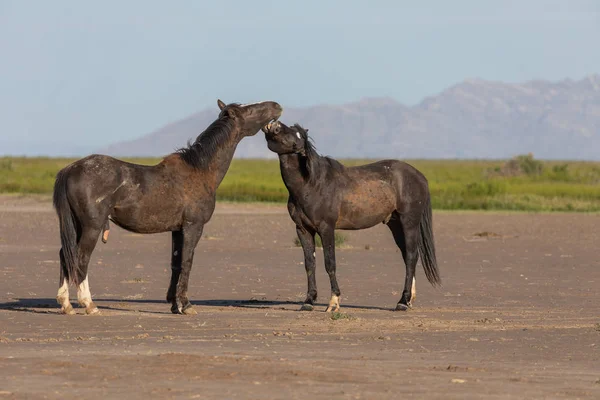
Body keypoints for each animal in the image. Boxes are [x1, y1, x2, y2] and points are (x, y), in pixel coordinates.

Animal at [52, 100, 282, 316]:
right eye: (249, 109)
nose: (276, 106)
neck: (200, 170)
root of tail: (70, 169)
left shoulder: (177, 230)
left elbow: (176, 263)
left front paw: (174, 305)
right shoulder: (193, 227)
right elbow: (187, 262)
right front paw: (186, 305)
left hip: (77, 226)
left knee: (65, 255)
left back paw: (66, 304)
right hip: (92, 227)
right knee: (81, 258)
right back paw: (89, 304)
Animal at [262, 120, 440, 310]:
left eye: (294, 136)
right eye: (290, 130)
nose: (274, 123)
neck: (312, 184)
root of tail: (420, 177)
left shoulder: (326, 228)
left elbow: (330, 263)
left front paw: (333, 302)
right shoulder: (303, 229)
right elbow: (310, 264)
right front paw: (309, 301)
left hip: (409, 223)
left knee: (412, 256)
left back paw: (403, 302)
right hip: (396, 224)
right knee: (408, 256)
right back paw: (408, 299)